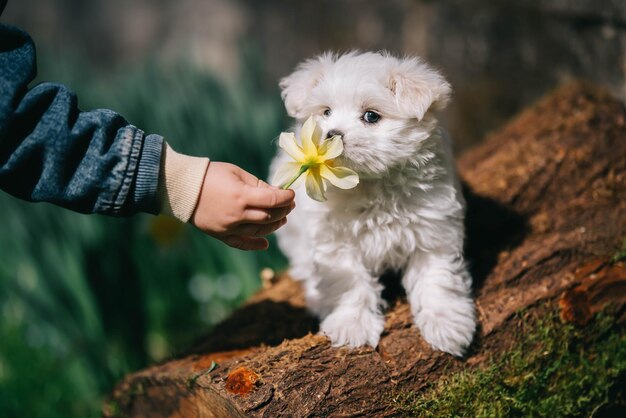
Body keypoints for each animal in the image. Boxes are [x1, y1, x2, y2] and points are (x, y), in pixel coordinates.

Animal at [268, 49, 472, 356]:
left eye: (371, 116)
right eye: (326, 112)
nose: (332, 133)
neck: (371, 183)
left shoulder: (432, 229)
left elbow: (438, 278)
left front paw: (447, 325)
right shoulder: (334, 239)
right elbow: (348, 281)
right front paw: (351, 325)